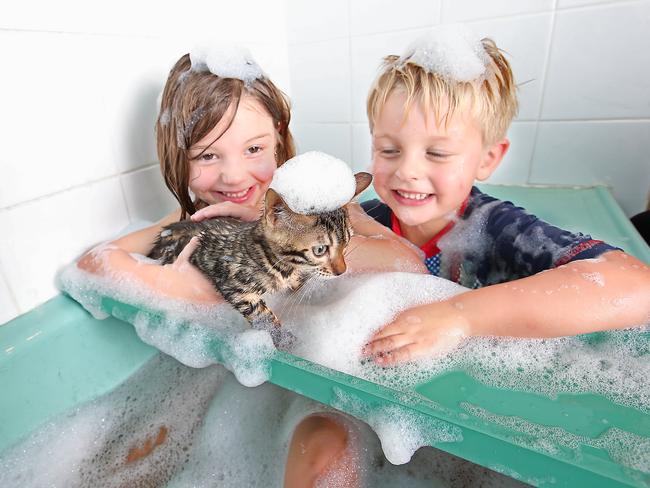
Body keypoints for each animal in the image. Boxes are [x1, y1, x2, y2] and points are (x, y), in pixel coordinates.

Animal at [147, 173, 370, 346]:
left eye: (347, 243)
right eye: (320, 250)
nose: (342, 271)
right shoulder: (234, 285)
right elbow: (263, 316)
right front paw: (284, 340)